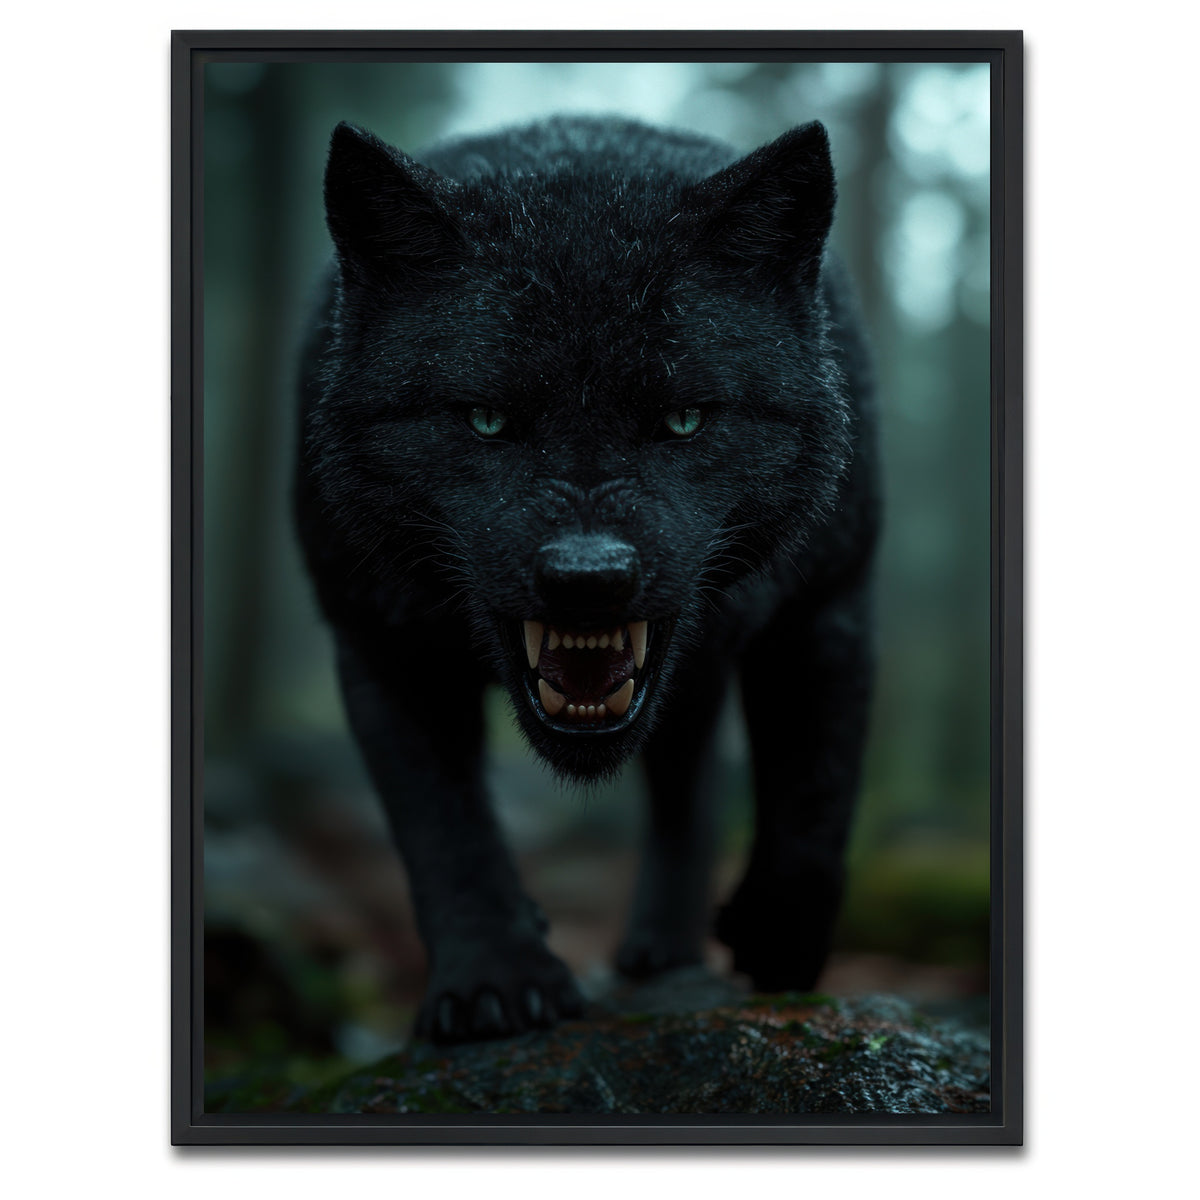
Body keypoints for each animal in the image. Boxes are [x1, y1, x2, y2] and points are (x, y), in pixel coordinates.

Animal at [295, 116, 880, 1043]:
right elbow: (443, 825)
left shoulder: (828, 604)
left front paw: (779, 944)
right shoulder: (380, 641)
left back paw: (666, 953)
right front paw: (496, 983)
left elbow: (817, 792)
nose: (587, 576)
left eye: (683, 419)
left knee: (690, 790)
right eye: (486, 419)